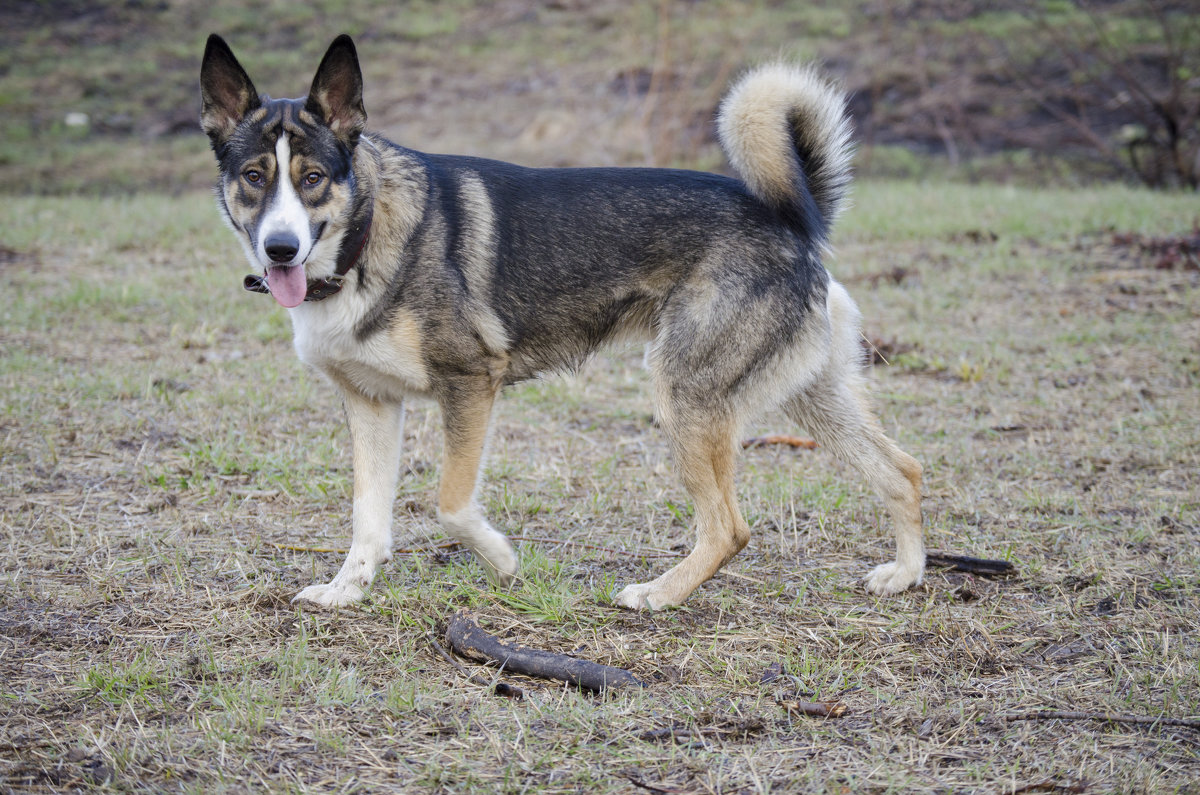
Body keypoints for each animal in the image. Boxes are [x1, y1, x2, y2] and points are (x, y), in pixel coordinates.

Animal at [201, 32, 921, 610]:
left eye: (314, 178)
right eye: (254, 177)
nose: (280, 249)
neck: (365, 236)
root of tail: (791, 221)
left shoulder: (470, 382)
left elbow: (451, 504)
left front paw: (501, 560)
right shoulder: (371, 402)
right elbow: (368, 518)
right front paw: (346, 590)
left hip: (684, 395)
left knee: (730, 529)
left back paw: (658, 595)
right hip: (808, 394)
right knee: (903, 471)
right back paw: (906, 574)